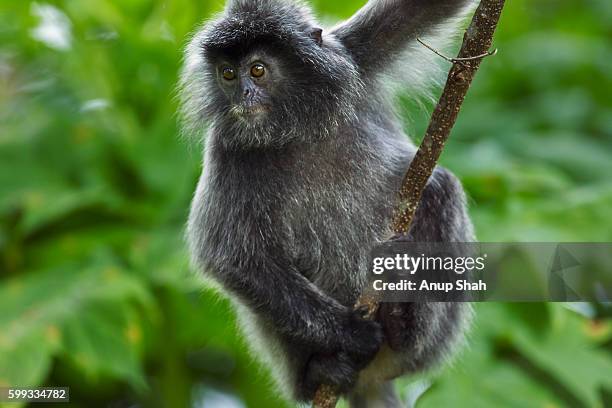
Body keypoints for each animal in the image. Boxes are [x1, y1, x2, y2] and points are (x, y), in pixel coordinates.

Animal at [179, 0, 476, 404]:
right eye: (227, 74)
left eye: (257, 70)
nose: (242, 96)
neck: (295, 126)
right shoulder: (229, 148)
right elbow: (232, 258)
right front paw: (353, 332)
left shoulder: (356, 56)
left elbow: (426, 9)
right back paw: (319, 371)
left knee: (440, 189)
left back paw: (402, 324)